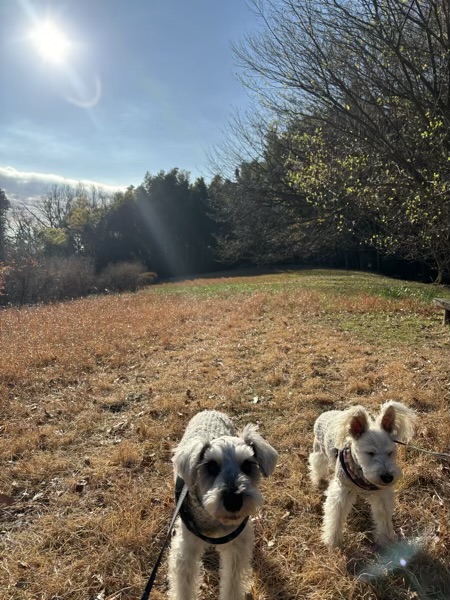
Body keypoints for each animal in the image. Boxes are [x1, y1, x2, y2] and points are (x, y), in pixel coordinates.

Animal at [168, 410, 278, 600]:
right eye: (211, 466)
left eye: (247, 465)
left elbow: (232, 584)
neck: (213, 520)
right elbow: (184, 588)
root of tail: (209, 410)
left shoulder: (235, 549)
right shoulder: (185, 552)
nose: (233, 501)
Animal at [308, 401, 416, 548]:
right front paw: (333, 540)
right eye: (370, 453)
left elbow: (383, 517)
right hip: (319, 451)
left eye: (390, 452)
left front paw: (387, 538)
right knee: (316, 463)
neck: (362, 476)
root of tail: (326, 413)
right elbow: (335, 518)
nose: (388, 478)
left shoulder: (381, 494)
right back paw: (318, 481)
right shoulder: (341, 492)